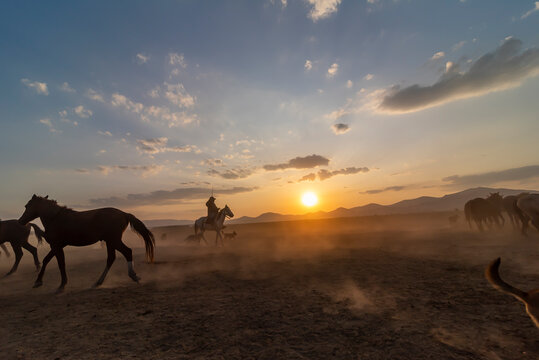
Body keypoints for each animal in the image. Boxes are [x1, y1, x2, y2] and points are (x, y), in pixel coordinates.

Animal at [17, 195, 155, 292]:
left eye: (27, 206)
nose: (20, 221)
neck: (55, 218)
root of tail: (124, 214)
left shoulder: (57, 246)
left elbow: (60, 264)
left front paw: (61, 285)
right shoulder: (57, 246)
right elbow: (46, 260)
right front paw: (38, 282)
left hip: (113, 240)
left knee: (127, 252)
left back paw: (133, 276)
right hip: (110, 242)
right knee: (111, 258)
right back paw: (98, 282)